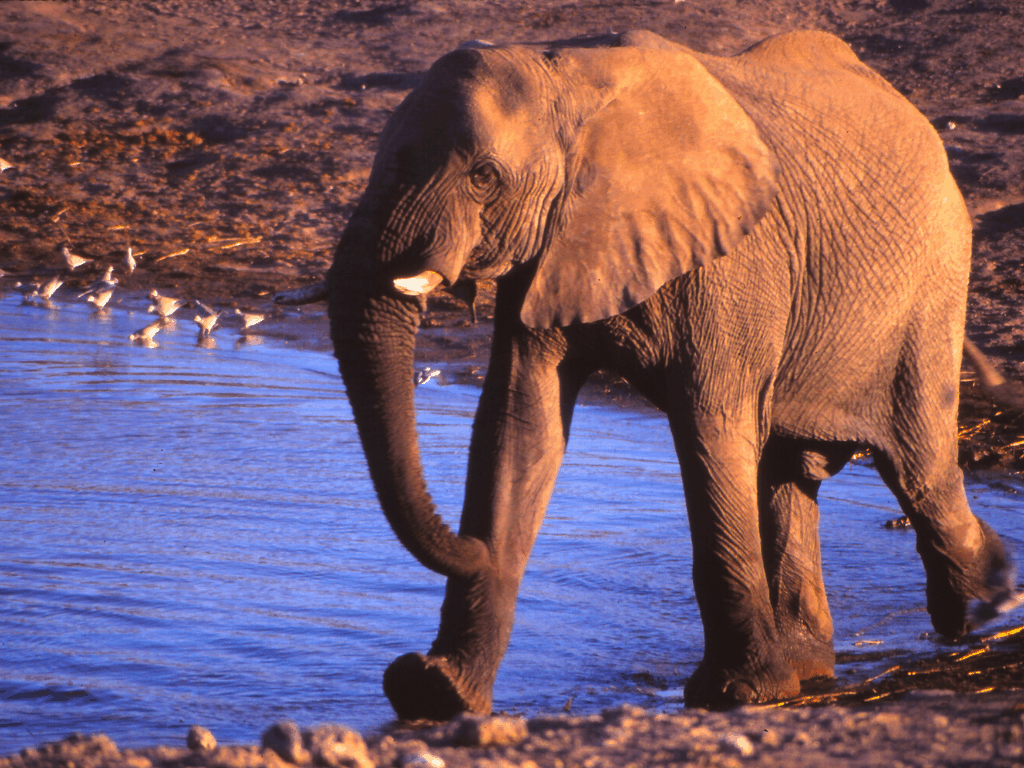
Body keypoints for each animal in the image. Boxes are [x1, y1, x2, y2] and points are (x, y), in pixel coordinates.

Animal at [311, 27, 1015, 720]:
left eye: (484, 177)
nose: (471, 548)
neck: (565, 76)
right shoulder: (550, 250)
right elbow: (520, 424)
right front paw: (435, 694)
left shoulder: (731, 263)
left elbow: (710, 427)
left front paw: (740, 693)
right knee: (791, 473)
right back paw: (813, 666)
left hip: (933, 284)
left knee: (917, 465)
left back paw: (991, 605)